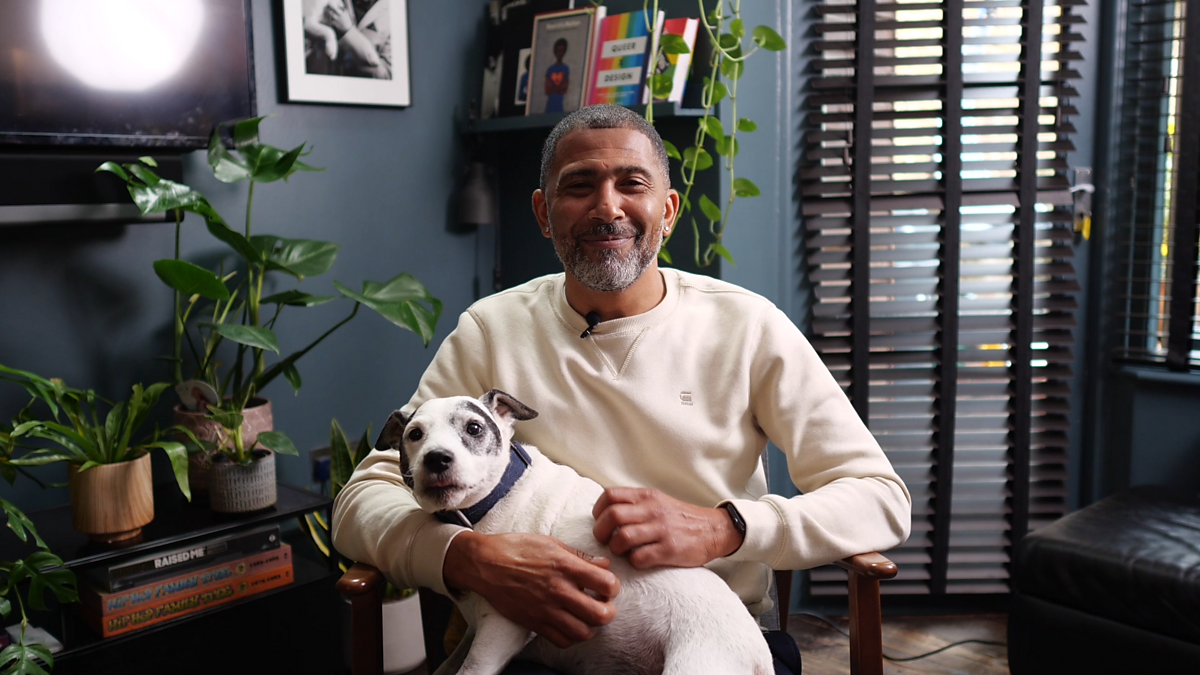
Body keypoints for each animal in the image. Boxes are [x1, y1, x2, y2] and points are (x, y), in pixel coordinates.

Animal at [375, 389, 774, 675]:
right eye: (414, 435)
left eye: (473, 428)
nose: (436, 458)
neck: (494, 497)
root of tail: (761, 658)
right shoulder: (473, 632)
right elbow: (448, 664)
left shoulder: (500, 629)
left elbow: (471, 668)